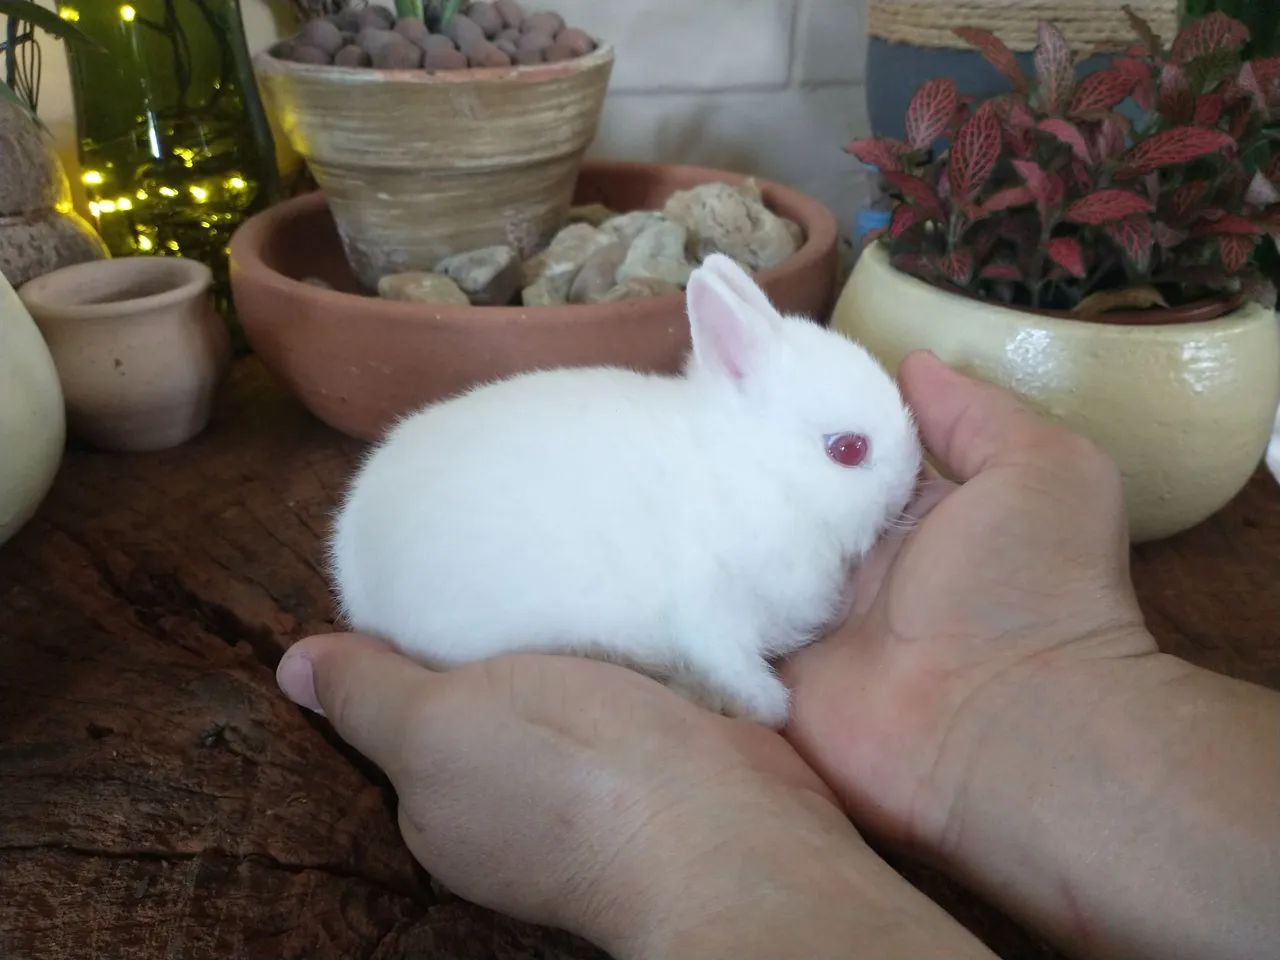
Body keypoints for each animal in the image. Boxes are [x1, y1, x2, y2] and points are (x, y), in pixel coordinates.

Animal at [330, 253, 922, 729]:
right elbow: (736, 666)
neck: (759, 473)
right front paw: (763, 709)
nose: (908, 487)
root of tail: (356, 579)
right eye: (848, 450)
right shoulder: (711, 611)